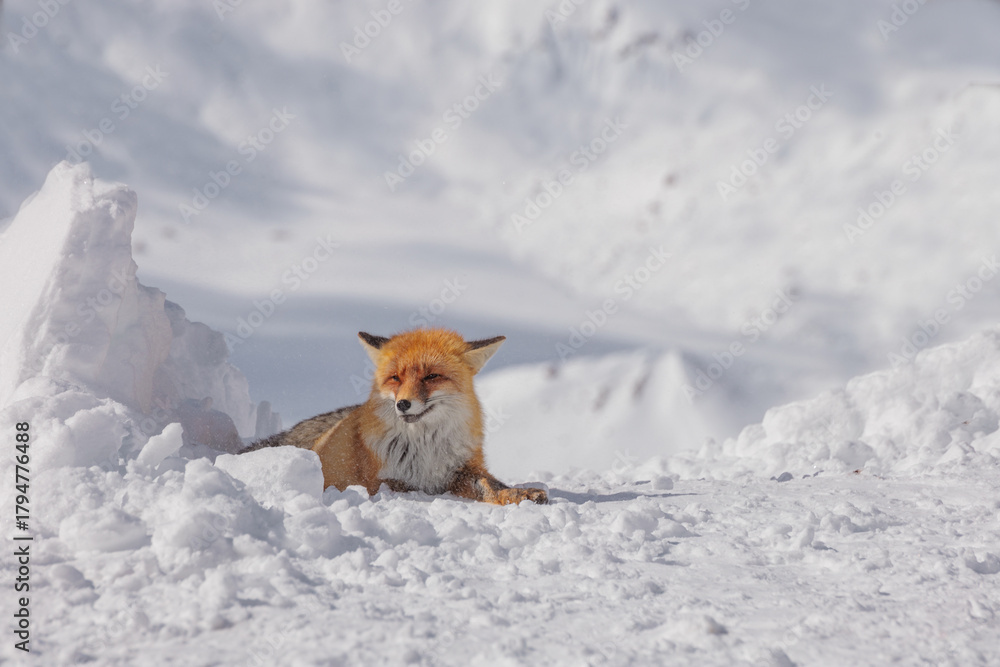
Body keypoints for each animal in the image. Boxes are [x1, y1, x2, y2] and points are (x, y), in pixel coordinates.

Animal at [245, 328, 548, 505]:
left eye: (431, 376)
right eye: (395, 378)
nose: (403, 404)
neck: (426, 448)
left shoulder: (463, 469)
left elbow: (490, 485)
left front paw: (520, 493)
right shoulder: (383, 481)